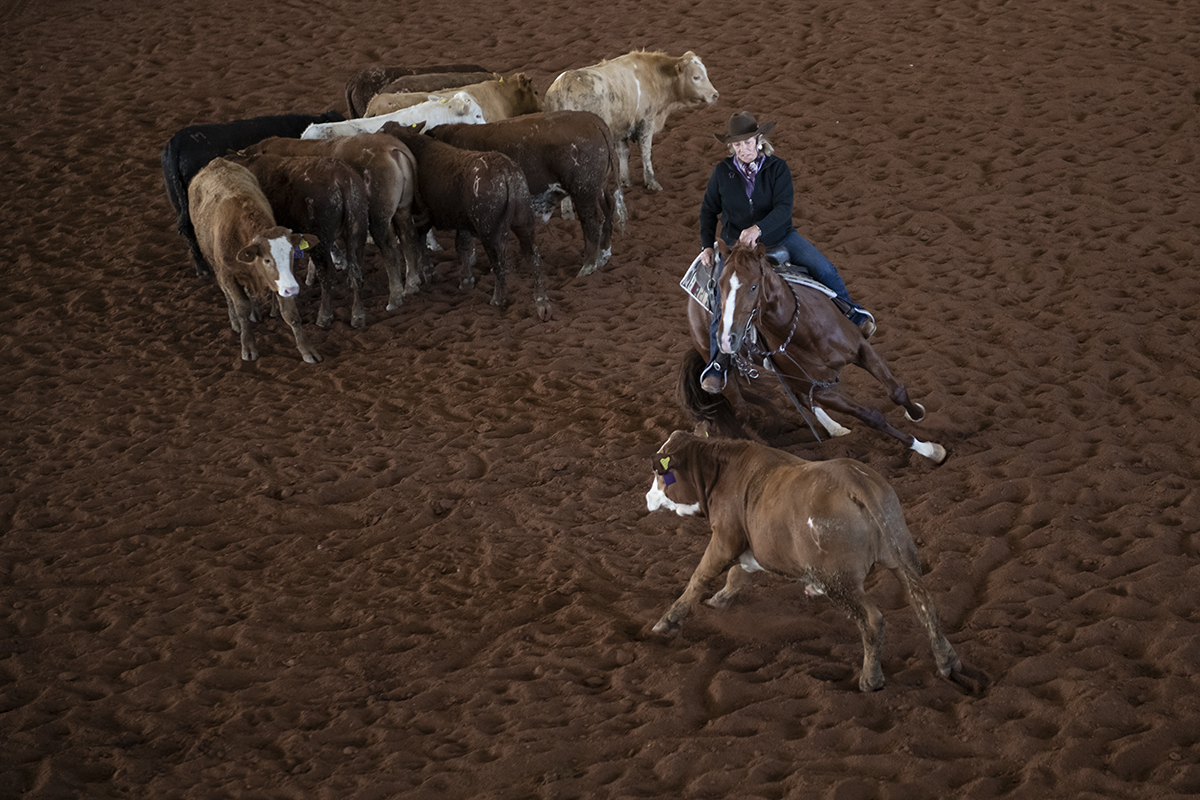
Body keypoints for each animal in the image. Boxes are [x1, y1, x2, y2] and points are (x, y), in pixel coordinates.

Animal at [188, 158, 321, 362]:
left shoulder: (281, 281)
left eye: (292, 254)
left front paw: (307, 350)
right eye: (266, 260)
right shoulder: (228, 274)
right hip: (214, 263)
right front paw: (248, 345)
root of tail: (216, 162)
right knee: (226, 293)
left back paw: (255, 313)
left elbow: (290, 313)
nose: (292, 289)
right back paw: (236, 322)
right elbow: (240, 306)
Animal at [547, 51, 720, 191]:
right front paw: (651, 182)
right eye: (696, 77)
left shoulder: (619, 127)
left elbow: (623, 152)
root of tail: (562, 88)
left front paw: (625, 181)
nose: (715, 95)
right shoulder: (646, 122)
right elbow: (646, 152)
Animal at [648, 431, 984, 695]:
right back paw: (947, 661)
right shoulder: (750, 547)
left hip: (838, 580)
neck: (721, 471)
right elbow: (737, 576)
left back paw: (870, 679)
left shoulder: (725, 538)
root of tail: (855, 483)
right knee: (925, 604)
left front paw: (668, 621)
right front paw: (719, 601)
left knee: (872, 619)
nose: (647, 498)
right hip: (902, 554)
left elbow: (701, 576)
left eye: (659, 474)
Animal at [686, 239, 945, 462]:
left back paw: (836, 429)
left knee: (800, 397)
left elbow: (896, 390)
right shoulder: (821, 388)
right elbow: (872, 416)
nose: (726, 339)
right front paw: (928, 449)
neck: (804, 330)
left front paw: (916, 413)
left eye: (753, 286)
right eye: (719, 287)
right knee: (743, 409)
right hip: (727, 374)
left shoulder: (862, 349)